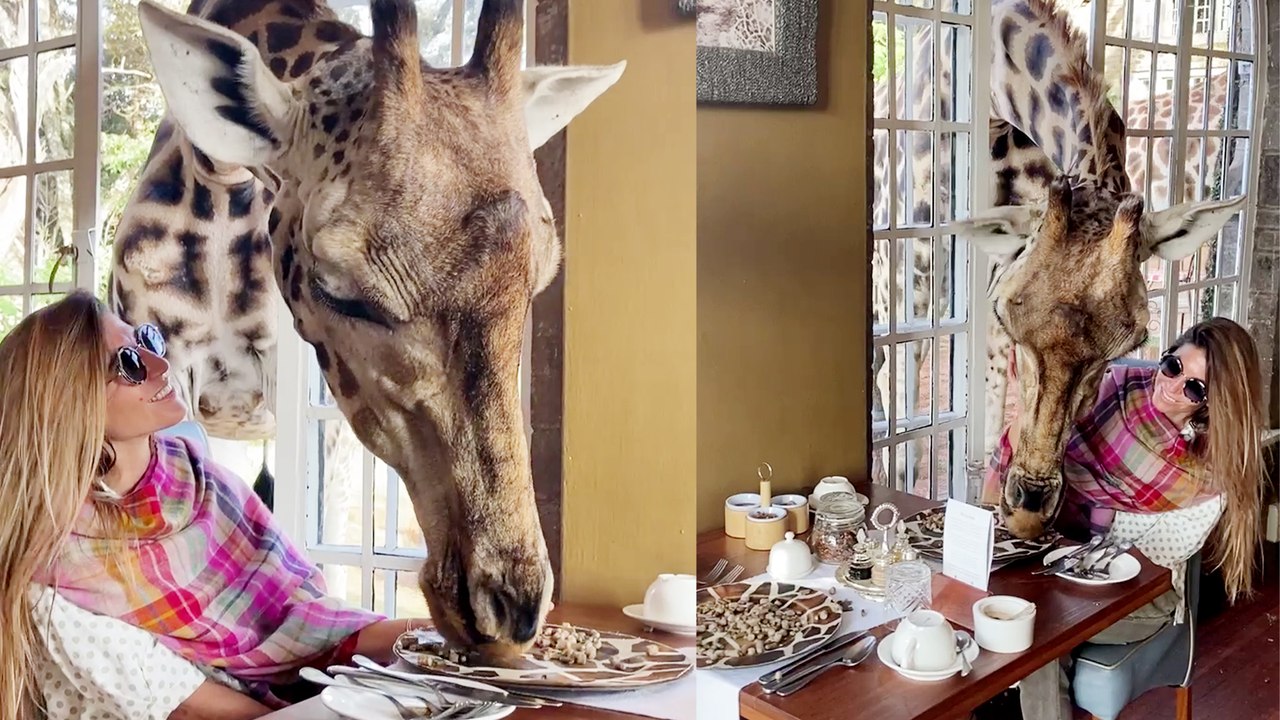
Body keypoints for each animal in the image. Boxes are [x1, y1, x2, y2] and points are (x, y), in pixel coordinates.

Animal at [123, 0, 624, 656]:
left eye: (538, 281)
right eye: (340, 290)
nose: (508, 612)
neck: (221, 176)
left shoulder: (311, 406)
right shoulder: (167, 373)